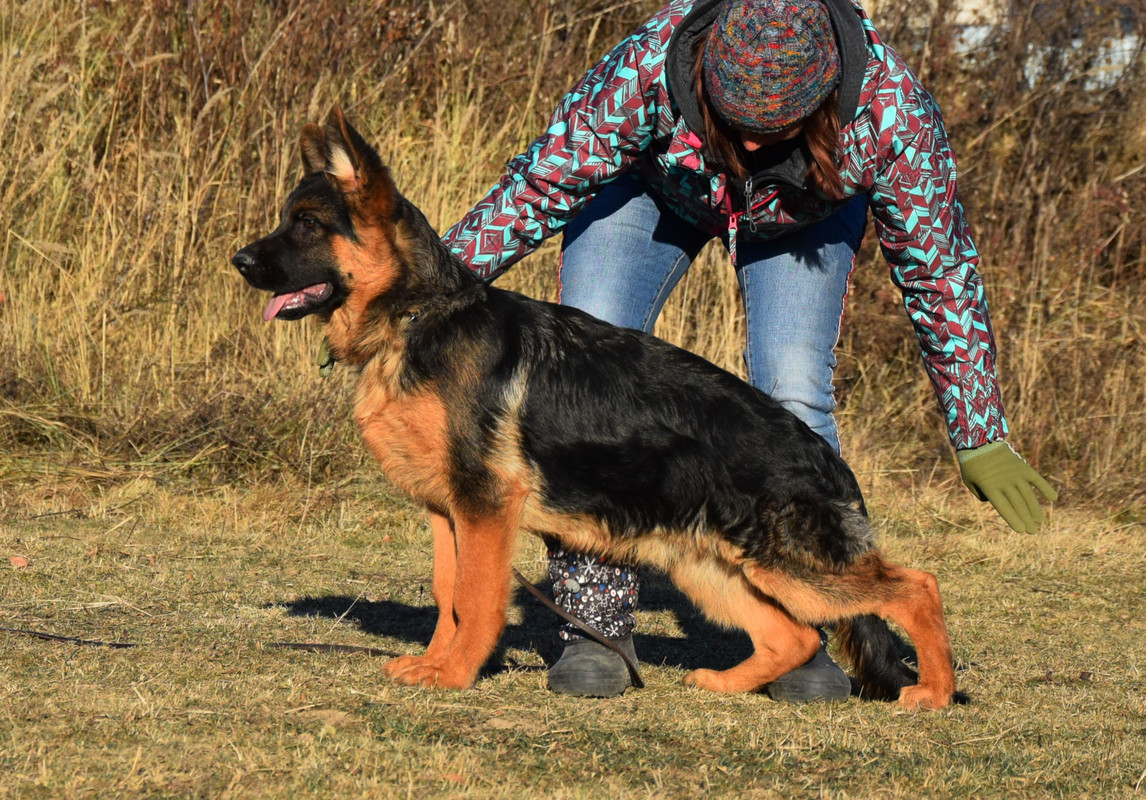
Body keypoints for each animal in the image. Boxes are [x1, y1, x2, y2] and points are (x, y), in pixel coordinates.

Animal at [237, 108, 962, 706]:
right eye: (288, 219)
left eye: (307, 225)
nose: (238, 260)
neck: (416, 316)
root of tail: (823, 455)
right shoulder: (450, 513)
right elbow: (449, 595)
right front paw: (435, 665)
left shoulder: (485, 510)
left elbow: (476, 599)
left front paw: (456, 674)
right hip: (713, 567)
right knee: (797, 636)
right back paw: (724, 685)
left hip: (794, 566)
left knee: (916, 586)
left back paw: (933, 692)